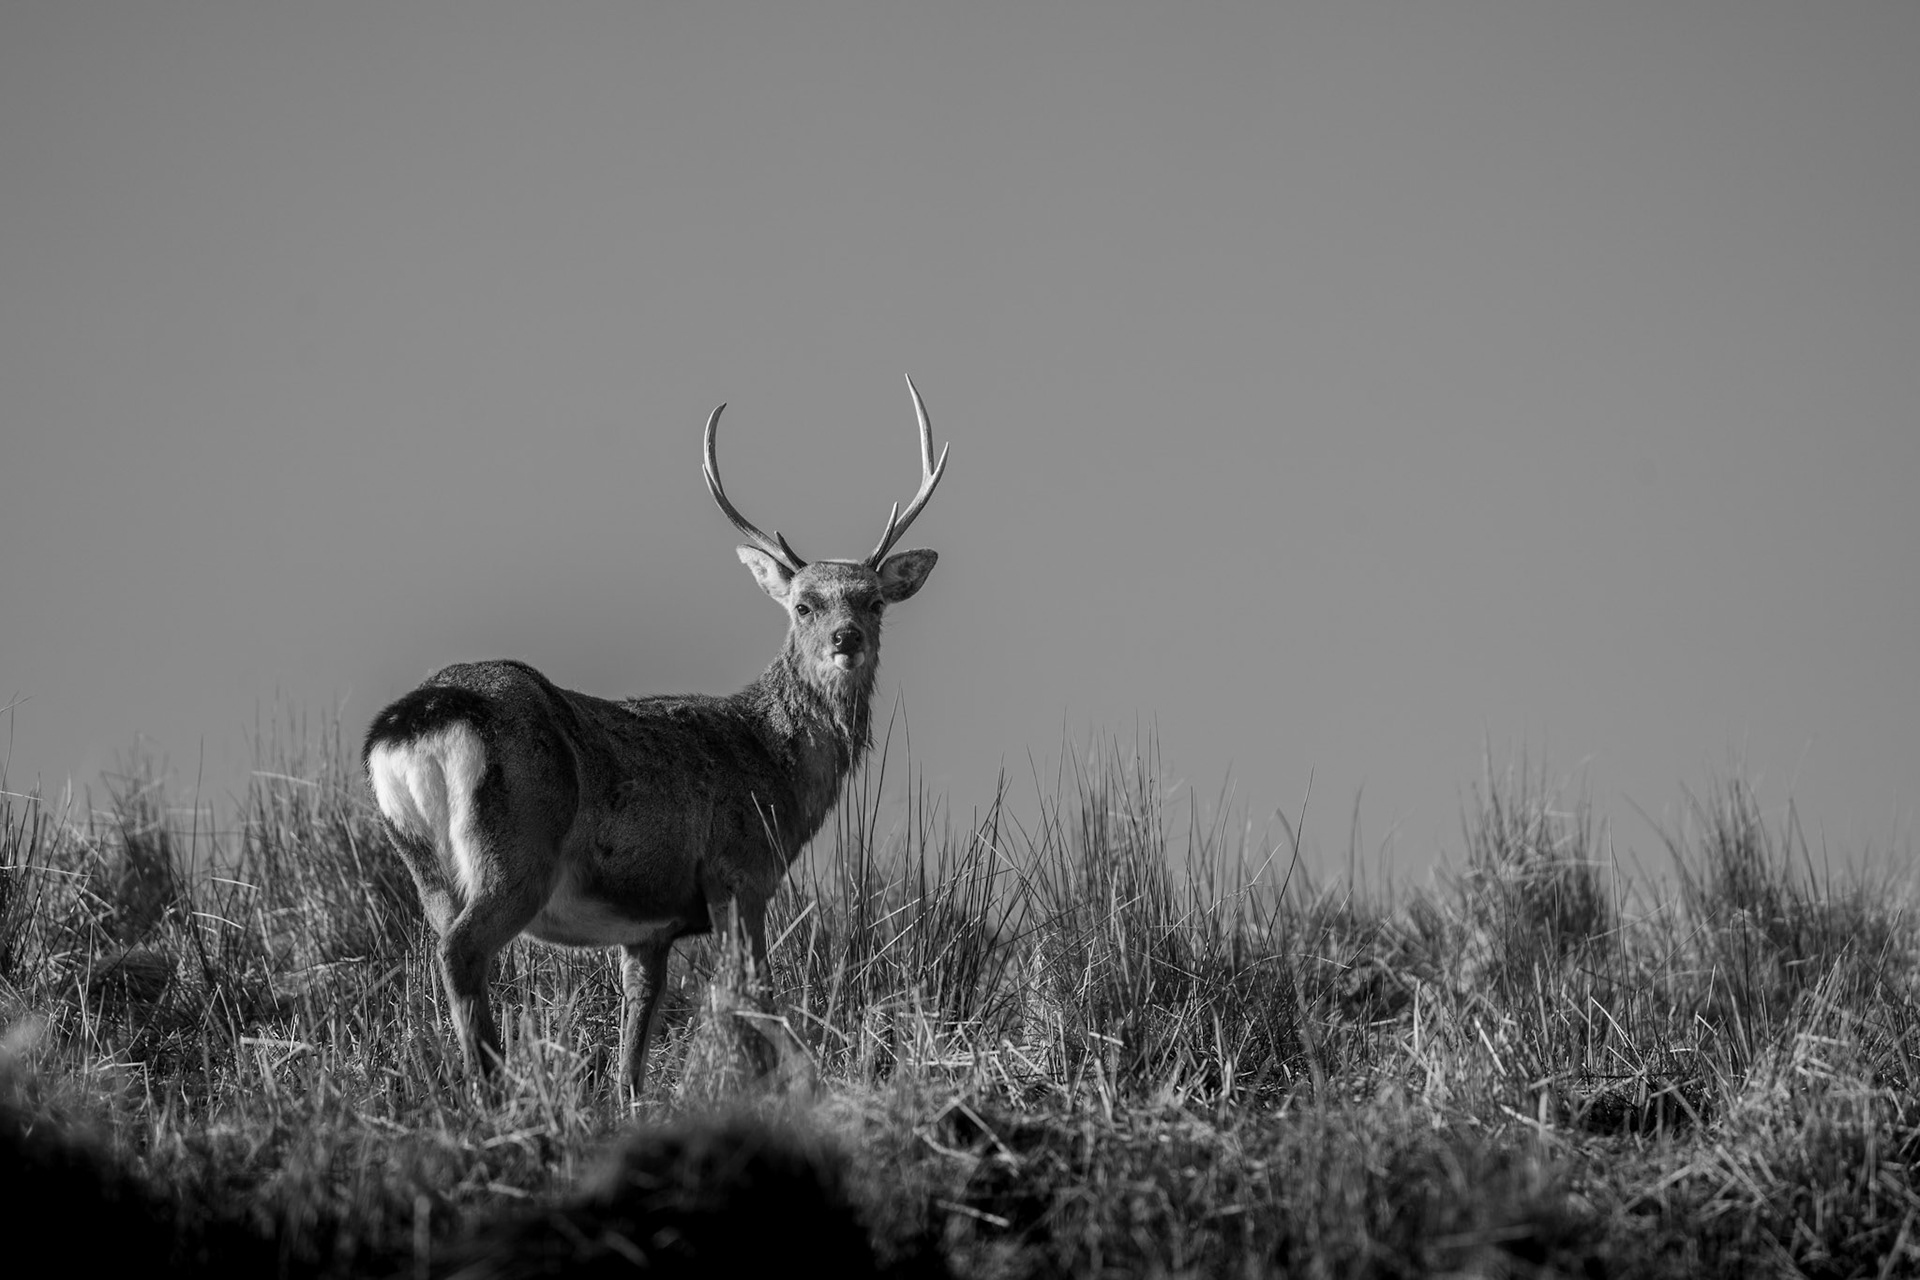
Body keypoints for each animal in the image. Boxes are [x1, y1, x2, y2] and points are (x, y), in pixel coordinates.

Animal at [363, 376, 948, 1097]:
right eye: (804, 605)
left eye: (874, 601)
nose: (846, 640)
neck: (775, 768)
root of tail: (417, 719)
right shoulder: (739, 870)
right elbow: (752, 995)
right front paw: (812, 1086)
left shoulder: (649, 928)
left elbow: (636, 1033)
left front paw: (629, 1101)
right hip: (518, 847)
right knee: (463, 951)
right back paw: (495, 1095)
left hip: (426, 864)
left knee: (446, 946)